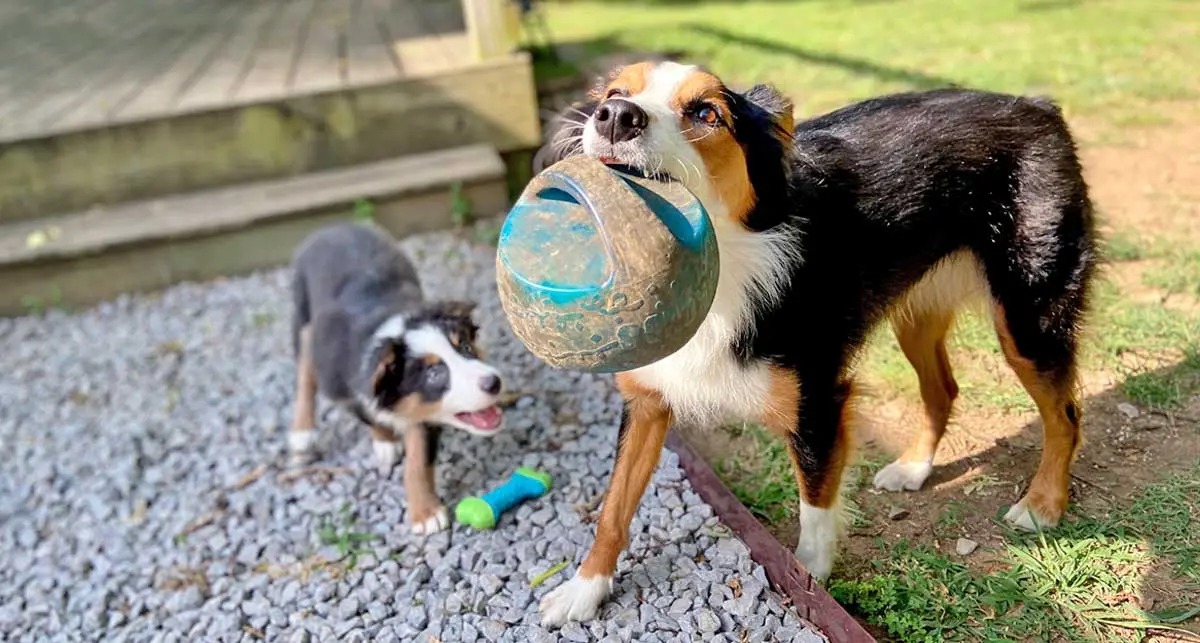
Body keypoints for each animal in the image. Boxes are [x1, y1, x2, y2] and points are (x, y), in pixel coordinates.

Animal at [290, 223, 506, 535]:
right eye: (434, 373)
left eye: (465, 347)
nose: (494, 382)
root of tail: (333, 227)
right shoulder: (345, 391)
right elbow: (372, 415)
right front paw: (386, 441)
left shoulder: (422, 415)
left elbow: (418, 460)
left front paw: (425, 512)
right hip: (303, 318)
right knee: (305, 377)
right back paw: (302, 434)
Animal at [535, 62, 1099, 623]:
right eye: (613, 93)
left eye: (706, 113)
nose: (616, 116)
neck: (722, 268)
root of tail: (1034, 105)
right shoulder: (647, 400)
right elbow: (613, 506)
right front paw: (585, 587)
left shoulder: (818, 403)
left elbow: (815, 504)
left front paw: (811, 580)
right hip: (917, 318)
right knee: (944, 389)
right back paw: (914, 467)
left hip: (1029, 315)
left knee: (1065, 414)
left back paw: (1044, 504)